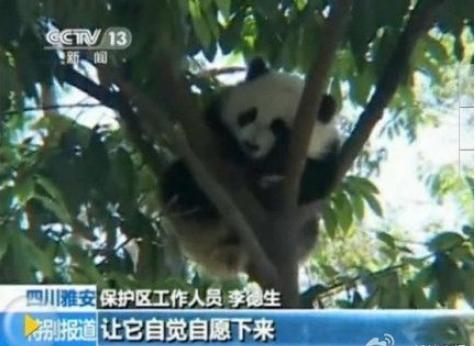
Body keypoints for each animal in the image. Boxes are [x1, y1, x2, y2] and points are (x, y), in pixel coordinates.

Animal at [162, 58, 340, 278]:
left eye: (278, 127)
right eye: (249, 114)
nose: (250, 144)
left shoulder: (326, 155)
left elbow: (314, 184)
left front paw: (267, 180)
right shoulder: (214, 118)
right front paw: (230, 148)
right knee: (180, 183)